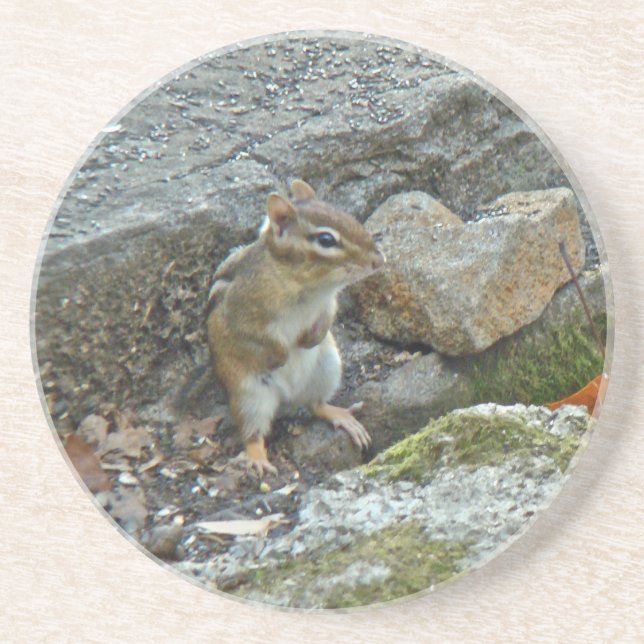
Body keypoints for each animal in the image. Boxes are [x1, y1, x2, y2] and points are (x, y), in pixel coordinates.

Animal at [205, 179, 385, 476]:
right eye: (326, 240)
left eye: (348, 216)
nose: (379, 261)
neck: (308, 287)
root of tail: (287, 399)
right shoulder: (241, 312)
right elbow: (256, 336)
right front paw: (281, 355)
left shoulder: (328, 302)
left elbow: (327, 317)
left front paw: (310, 339)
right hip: (249, 394)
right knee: (253, 432)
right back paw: (257, 458)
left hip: (327, 367)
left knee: (316, 405)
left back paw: (342, 416)